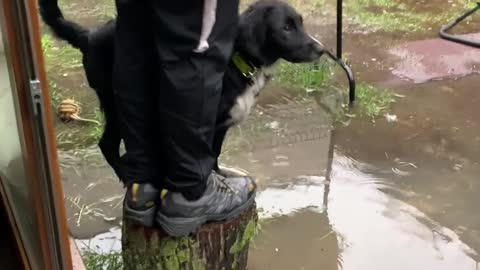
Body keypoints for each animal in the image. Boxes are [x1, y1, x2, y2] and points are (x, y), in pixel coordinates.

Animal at [37, 0, 322, 180]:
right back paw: (127, 176)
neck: (238, 57)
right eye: (286, 28)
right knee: (106, 144)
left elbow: (214, 156)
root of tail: (89, 36)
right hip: (119, 103)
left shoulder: (220, 126)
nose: (320, 49)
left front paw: (219, 177)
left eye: (300, 23)